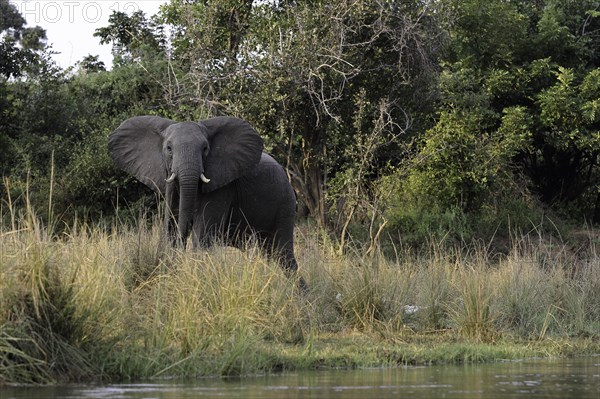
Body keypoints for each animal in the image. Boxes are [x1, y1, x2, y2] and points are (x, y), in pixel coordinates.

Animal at [108, 115, 304, 288]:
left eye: (205, 149)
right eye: (169, 148)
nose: (178, 263)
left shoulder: (222, 186)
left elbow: (201, 235)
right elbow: (170, 228)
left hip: (285, 204)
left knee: (284, 255)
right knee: (271, 255)